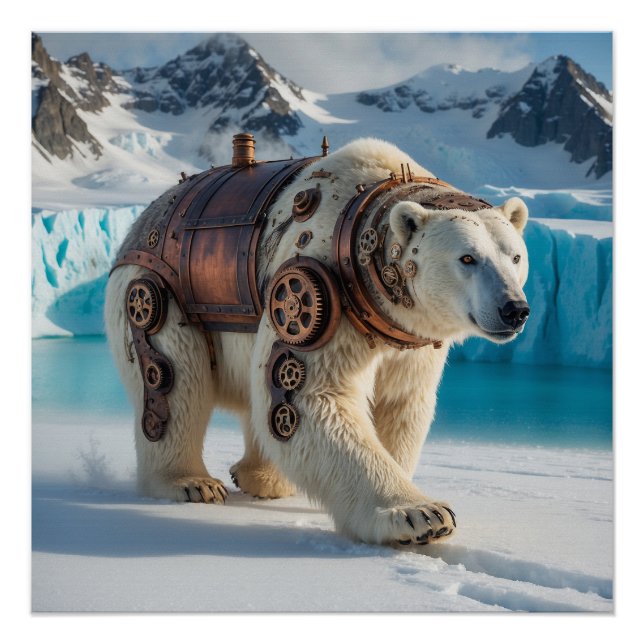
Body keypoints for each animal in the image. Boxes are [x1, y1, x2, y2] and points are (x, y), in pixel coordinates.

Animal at [104, 137, 530, 546]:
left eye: (515, 256)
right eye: (468, 258)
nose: (515, 309)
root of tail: (147, 215)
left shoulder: (408, 334)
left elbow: (402, 404)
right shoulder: (318, 284)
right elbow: (312, 399)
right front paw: (421, 515)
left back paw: (265, 479)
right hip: (159, 289)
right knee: (176, 382)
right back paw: (191, 483)